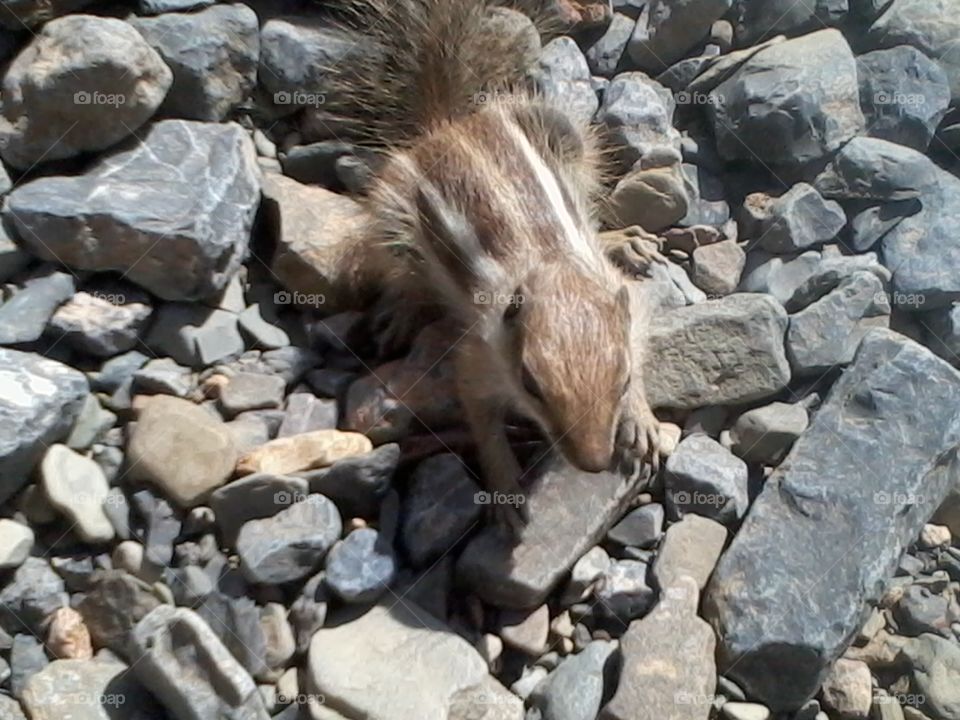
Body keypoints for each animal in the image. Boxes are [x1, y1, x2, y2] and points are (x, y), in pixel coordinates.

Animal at [316, 0, 663, 531]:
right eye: (531, 385)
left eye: (621, 379)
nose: (592, 464)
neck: (554, 266)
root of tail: (447, 124)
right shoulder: (480, 354)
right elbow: (480, 417)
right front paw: (505, 490)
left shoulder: (629, 305)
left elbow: (641, 342)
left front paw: (641, 420)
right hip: (392, 214)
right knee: (403, 270)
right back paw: (402, 311)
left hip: (563, 134)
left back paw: (625, 240)